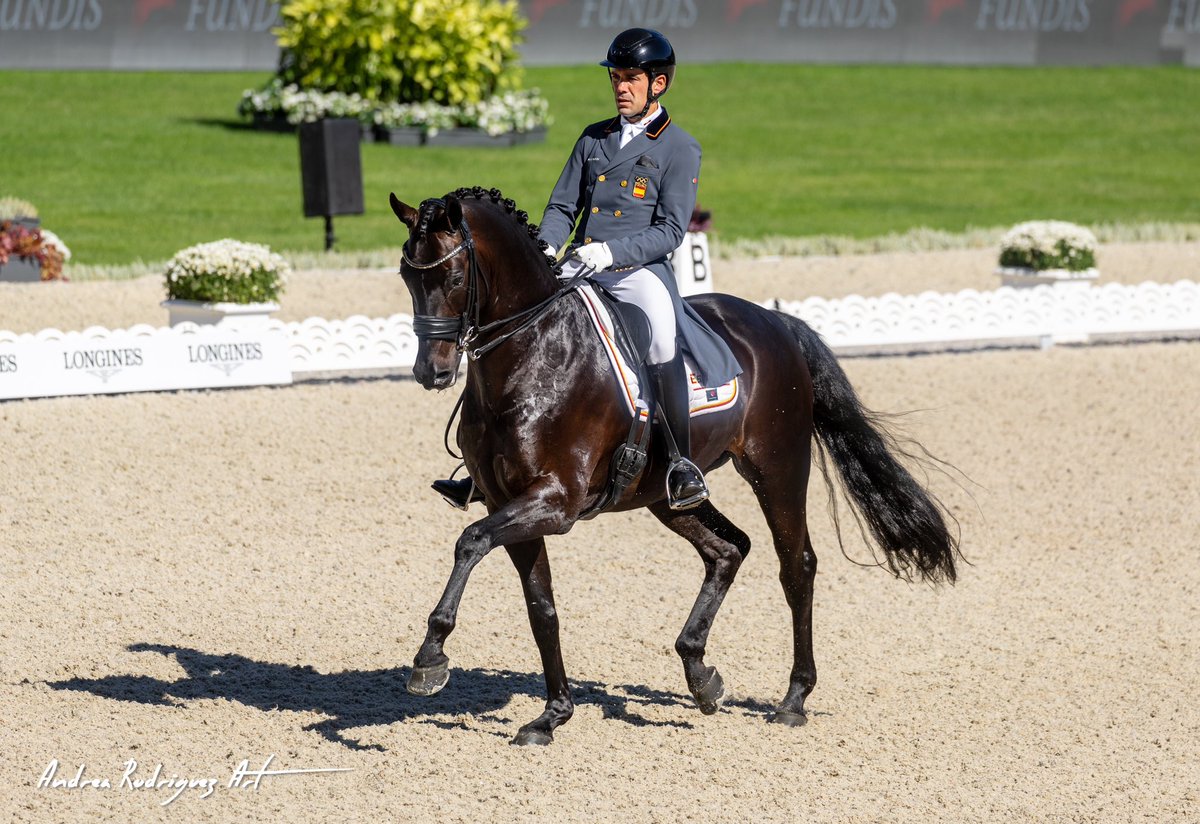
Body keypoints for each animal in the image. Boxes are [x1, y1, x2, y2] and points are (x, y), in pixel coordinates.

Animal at [391, 188, 955, 748]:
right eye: (407, 276)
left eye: (455, 277)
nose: (431, 372)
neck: (533, 355)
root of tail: (775, 323)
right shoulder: (510, 502)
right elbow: (540, 607)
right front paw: (552, 715)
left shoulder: (556, 500)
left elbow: (470, 541)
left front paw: (430, 657)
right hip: (665, 495)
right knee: (728, 549)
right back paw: (701, 676)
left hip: (778, 468)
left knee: (796, 565)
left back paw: (793, 699)